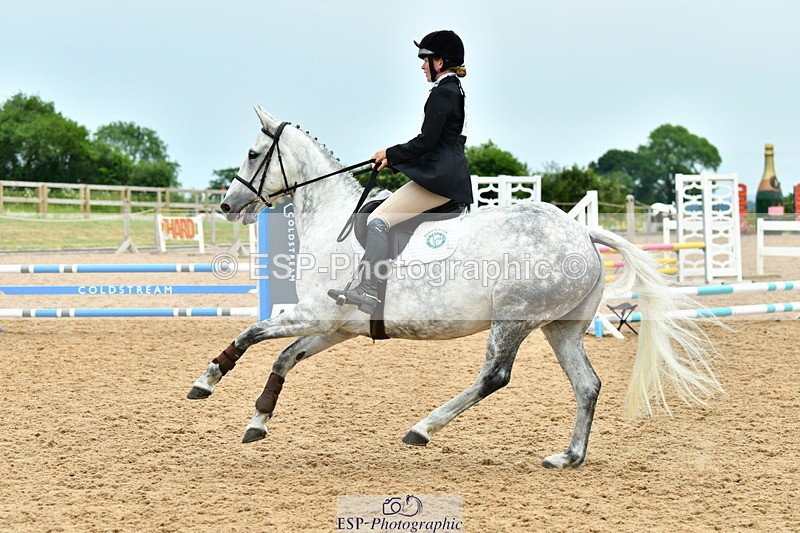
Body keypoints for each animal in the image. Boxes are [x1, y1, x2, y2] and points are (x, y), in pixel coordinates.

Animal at [186, 106, 722, 469]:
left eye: (253, 154)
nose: (228, 206)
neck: (332, 220)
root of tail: (581, 232)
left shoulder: (316, 313)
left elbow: (252, 333)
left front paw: (207, 381)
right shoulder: (335, 325)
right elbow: (284, 357)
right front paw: (257, 421)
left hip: (513, 320)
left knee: (495, 376)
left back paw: (422, 429)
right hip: (561, 328)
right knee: (586, 384)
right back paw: (567, 456)